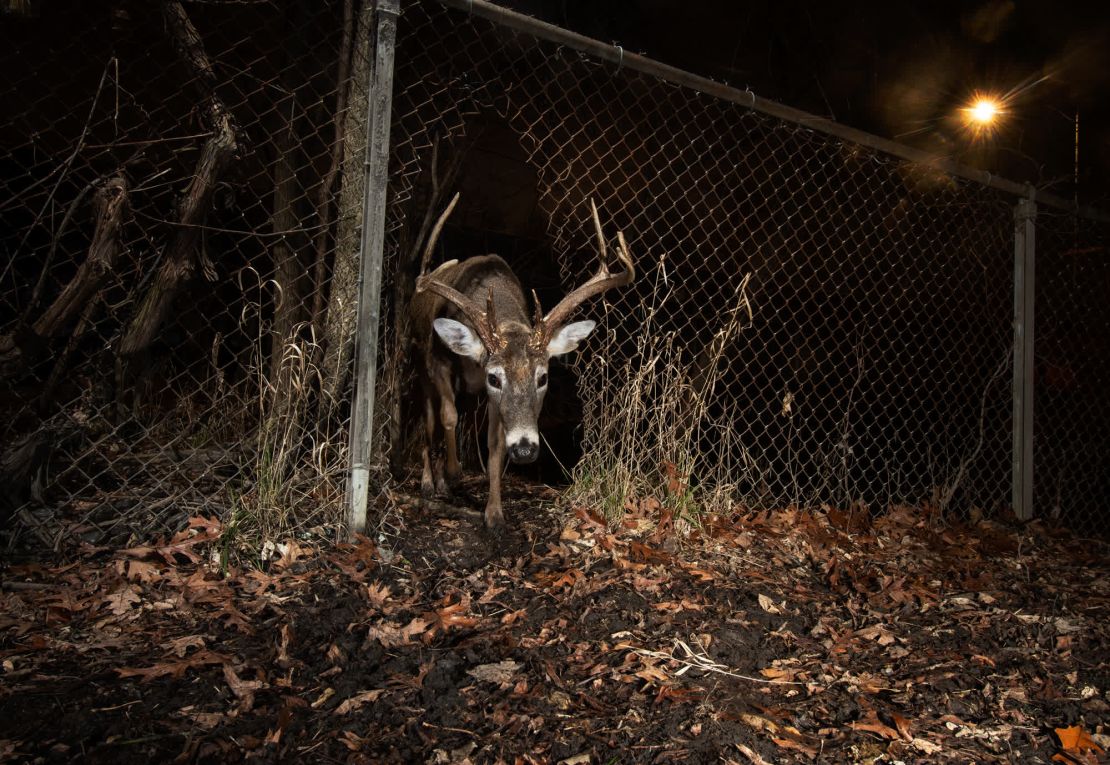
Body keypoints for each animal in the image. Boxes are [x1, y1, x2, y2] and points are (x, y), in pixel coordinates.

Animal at [410, 194, 639, 528]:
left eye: (542, 377)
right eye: (494, 377)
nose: (525, 449)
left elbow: (494, 445)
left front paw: (494, 514)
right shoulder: (439, 363)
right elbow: (447, 417)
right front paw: (453, 473)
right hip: (420, 368)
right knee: (428, 419)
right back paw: (431, 482)